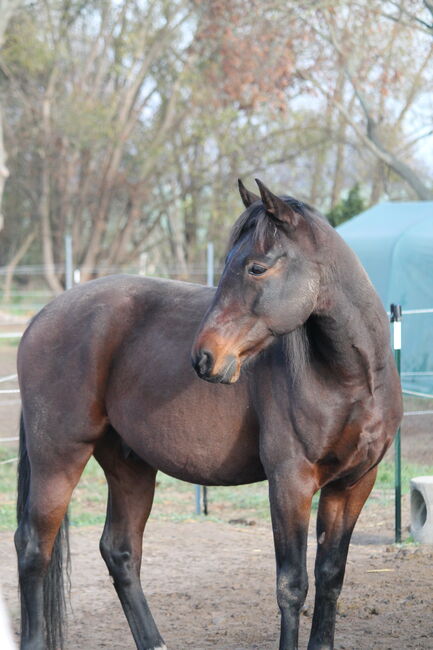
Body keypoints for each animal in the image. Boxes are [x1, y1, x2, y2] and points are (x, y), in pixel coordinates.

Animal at [16, 178, 402, 648]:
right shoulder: (289, 483)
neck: (346, 381)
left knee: (119, 550)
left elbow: (330, 577)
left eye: (256, 268)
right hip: (58, 457)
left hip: (130, 465)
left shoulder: (354, 484)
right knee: (34, 547)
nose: (203, 358)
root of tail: (42, 316)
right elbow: (292, 585)